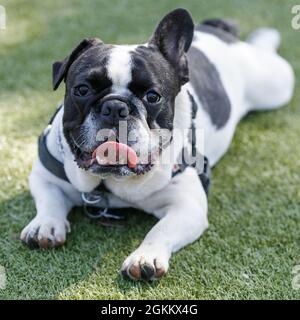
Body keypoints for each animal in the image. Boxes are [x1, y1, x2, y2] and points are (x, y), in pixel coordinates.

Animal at [20, 8, 292, 282]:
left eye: (153, 96)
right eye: (82, 90)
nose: (115, 107)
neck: (111, 184)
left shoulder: (186, 206)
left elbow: (160, 230)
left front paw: (145, 257)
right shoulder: (44, 174)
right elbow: (49, 199)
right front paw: (45, 224)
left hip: (275, 85)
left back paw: (264, 37)